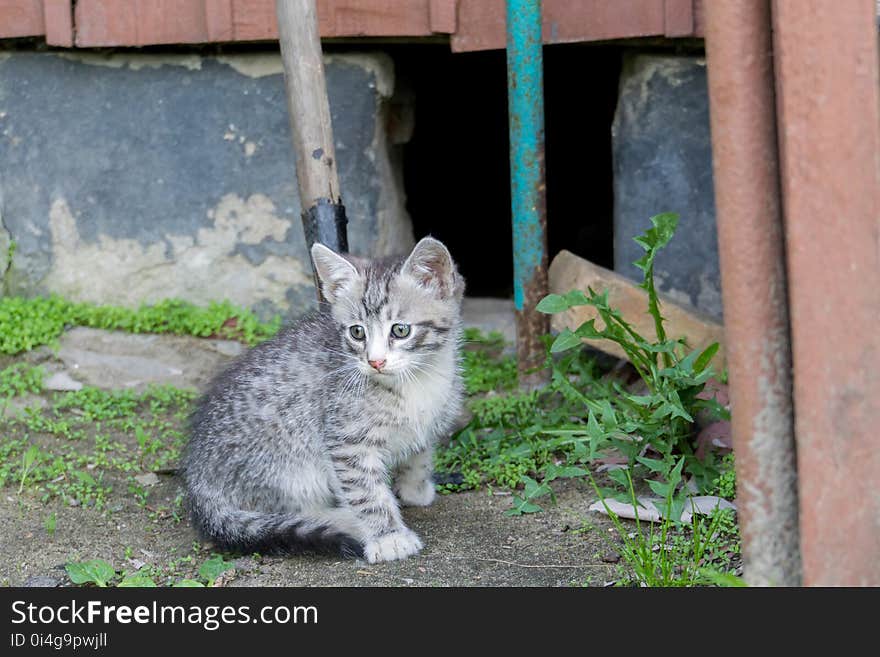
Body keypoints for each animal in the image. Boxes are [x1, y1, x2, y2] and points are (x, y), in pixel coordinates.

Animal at [182, 238, 464, 560]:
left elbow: (419, 454)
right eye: (357, 332)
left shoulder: (428, 422)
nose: (375, 361)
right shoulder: (347, 442)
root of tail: (198, 479)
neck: (417, 379)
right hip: (288, 465)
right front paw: (388, 537)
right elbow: (366, 492)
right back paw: (344, 520)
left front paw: (415, 488)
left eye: (401, 330)